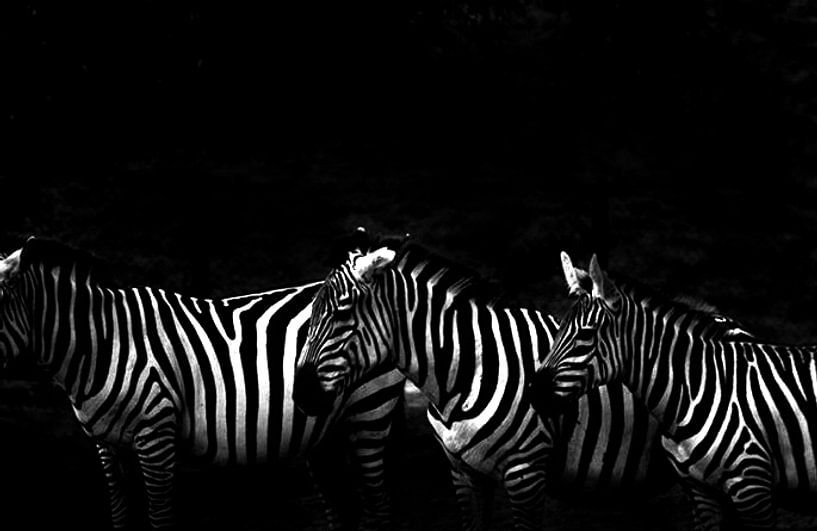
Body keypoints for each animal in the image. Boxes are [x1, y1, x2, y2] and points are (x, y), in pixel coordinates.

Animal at [0, 237, 405, 530]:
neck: (102, 344)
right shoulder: (106, 447)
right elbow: (120, 517)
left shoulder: (156, 435)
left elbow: (160, 520)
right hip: (326, 434)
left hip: (368, 411)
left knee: (381, 508)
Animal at [292, 234, 755, 529]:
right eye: (312, 313)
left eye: (341, 313)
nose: (301, 395)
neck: (464, 374)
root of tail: (728, 321)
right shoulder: (462, 474)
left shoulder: (525, 472)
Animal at [539, 251, 817, 530]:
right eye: (559, 328)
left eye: (586, 334)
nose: (533, 390)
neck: (695, 391)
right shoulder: (699, 491)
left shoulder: (751, 487)